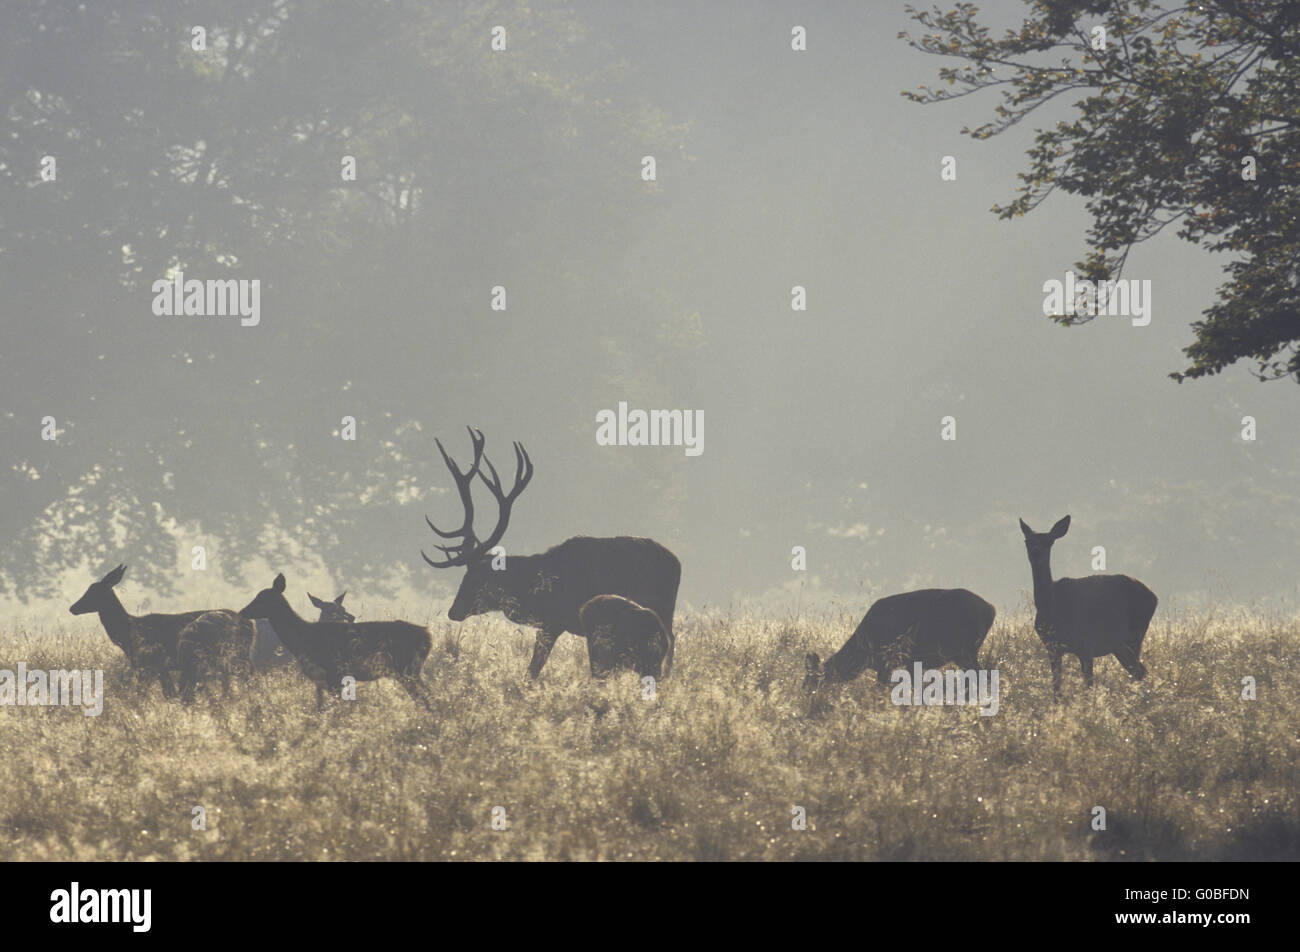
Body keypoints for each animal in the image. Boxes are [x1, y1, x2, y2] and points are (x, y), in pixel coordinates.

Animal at [239, 572, 431, 707]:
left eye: (262, 599)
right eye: (257, 596)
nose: (242, 611)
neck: (302, 638)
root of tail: (428, 636)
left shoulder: (333, 673)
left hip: (406, 669)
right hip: (412, 671)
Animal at [423, 426, 691, 681]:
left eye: (478, 578)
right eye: (465, 575)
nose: (453, 610)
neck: (533, 590)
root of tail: (677, 562)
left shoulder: (553, 622)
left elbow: (532, 672)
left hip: (662, 608)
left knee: (669, 642)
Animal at [800, 582, 993, 697]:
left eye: (812, 681)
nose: (803, 695)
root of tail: (991, 610)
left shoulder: (888, 661)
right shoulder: (908, 662)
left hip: (965, 650)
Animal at [1013, 517, 1159, 697]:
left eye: (1049, 541)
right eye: (1027, 541)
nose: (1035, 552)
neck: (1051, 607)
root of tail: (1154, 597)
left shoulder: (1087, 645)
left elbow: (1088, 685)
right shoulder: (1052, 647)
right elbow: (1056, 688)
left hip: (1135, 636)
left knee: (1139, 671)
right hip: (1120, 646)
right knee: (1140, 671)